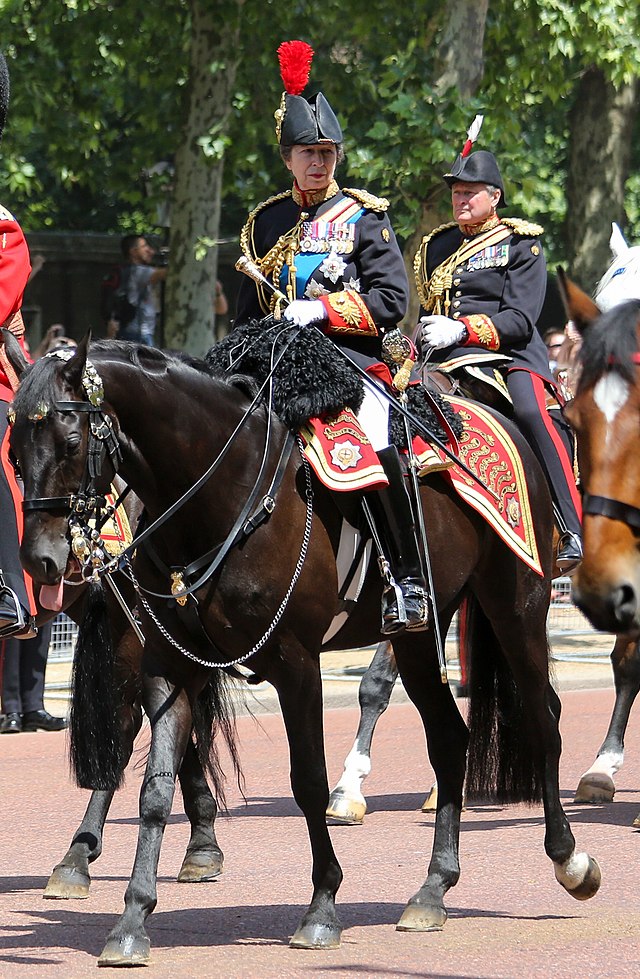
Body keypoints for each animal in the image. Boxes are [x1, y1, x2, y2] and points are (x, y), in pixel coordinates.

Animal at [3, 334, 600, 968]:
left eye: (70, 441)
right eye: (14, 450)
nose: (41, 561)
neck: (224, 491)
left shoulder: (295, 663)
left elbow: (308, 779)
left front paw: (322, 908)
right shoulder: (169, 664)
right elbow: (155, 787)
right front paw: (132, 920)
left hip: (516, 605)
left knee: (543, 718)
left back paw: (569, 857)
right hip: (417, 639)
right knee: (449, 740)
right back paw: (433, 890)